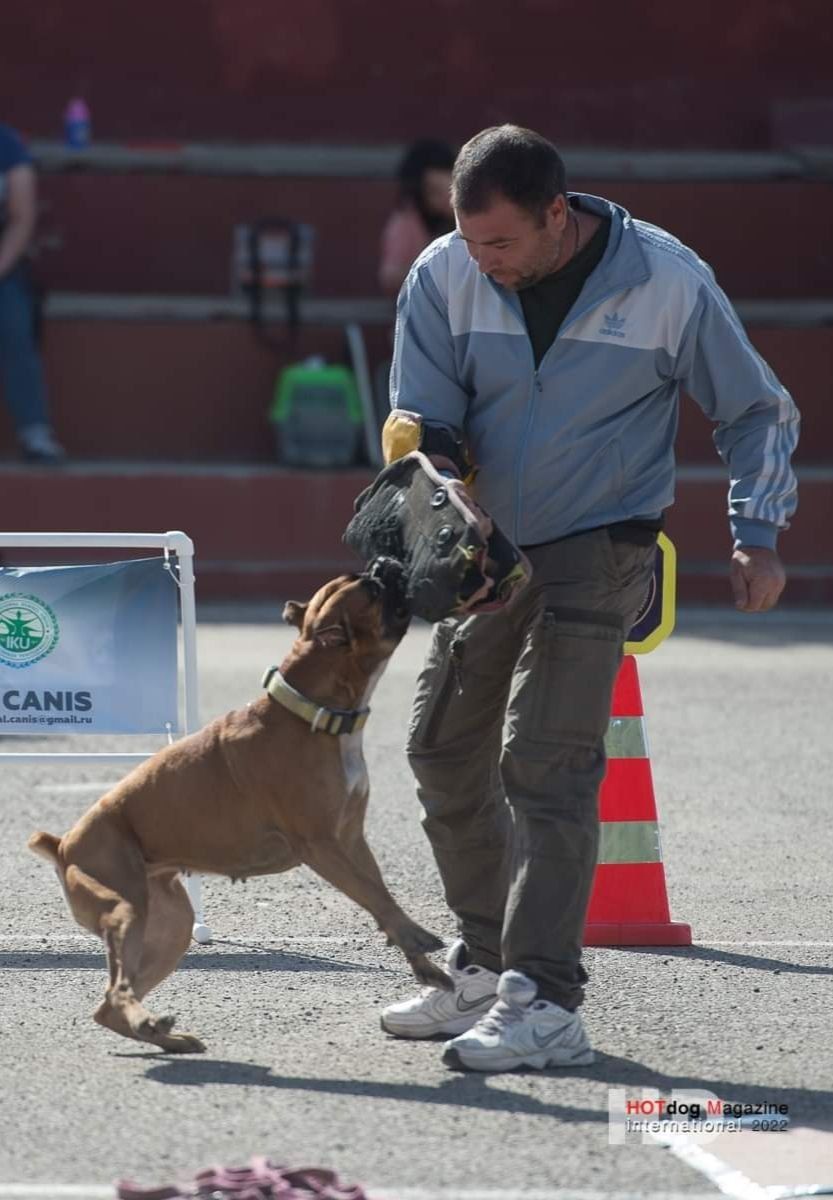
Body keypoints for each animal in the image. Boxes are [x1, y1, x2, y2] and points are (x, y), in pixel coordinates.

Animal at [29, 561, 451, 1051]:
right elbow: (376, 897)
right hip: (124, 908)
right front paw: (417, 936)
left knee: (109, 1002)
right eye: (371, 589)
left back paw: (164, 1036)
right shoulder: (323, 847)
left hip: (169, 926)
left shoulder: (352, 842)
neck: (311, 712)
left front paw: (421, 963)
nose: (385, 564)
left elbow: (381, 896)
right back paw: (153, 1025)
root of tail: (64, 844)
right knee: (117, 990)